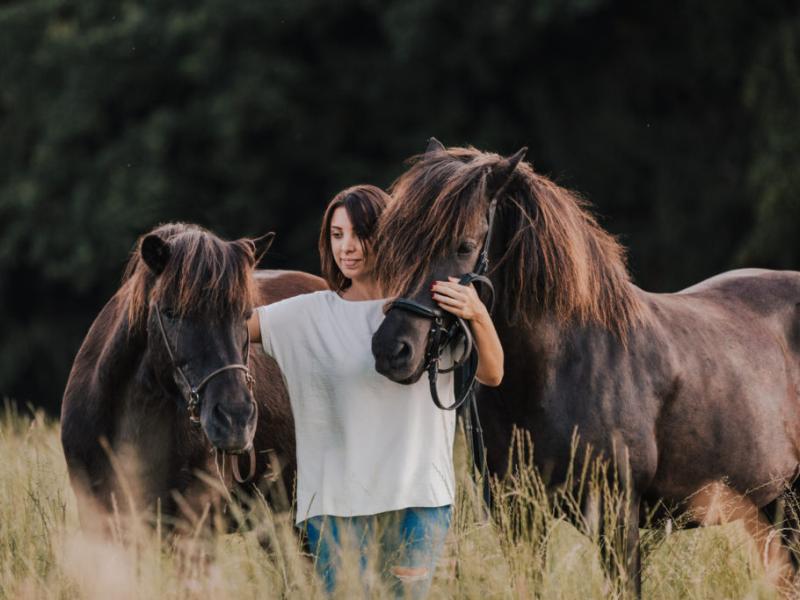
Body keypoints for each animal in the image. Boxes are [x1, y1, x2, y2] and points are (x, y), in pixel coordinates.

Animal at [370, 139, 800, 592]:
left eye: (465, 247)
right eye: (398, 242)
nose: (392, 350)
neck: (555, 372)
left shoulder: (617, 519)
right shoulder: (519, 518)